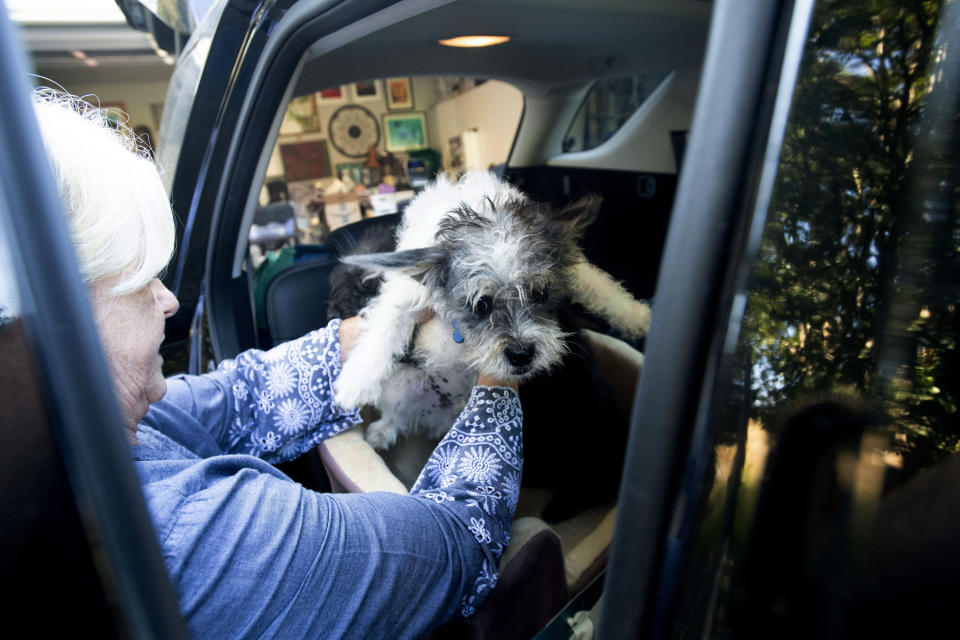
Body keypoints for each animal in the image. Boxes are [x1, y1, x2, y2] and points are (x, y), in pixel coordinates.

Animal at [332, 170, 652, 450]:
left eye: (541, 293)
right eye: (481, 304)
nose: (521, 354)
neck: (479, 211)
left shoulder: (577, 268)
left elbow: (600, 287)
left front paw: (637, 317)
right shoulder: (409, 291)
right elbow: (388, 321)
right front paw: (355, 381)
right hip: (400, 389)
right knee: (396, 414)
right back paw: (383, 429)